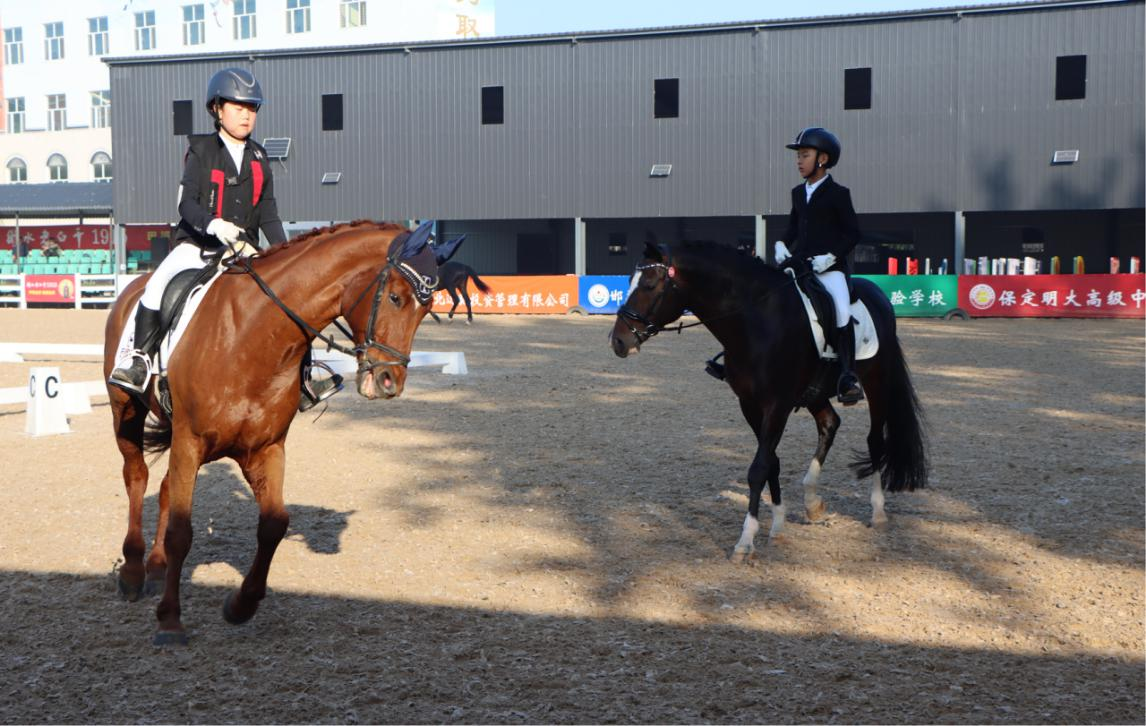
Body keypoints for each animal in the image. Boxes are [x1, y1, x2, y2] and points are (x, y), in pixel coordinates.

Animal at [101, 217, 460, 641]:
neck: (253, 337)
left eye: (428, 308)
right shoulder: (191, 441)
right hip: (127, 409)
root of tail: (133, 287)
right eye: (395, 298)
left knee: (165, 488)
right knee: (136, 477)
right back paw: (133, 572)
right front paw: (170, 621)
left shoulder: (265, 447)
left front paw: (241, 605)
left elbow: (274, 524)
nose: (389, 382)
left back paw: (156, 568)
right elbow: (181, 532)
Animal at [605, 241, 925, 558]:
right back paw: (812, 503)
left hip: (876, 382)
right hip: (815, 392)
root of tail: (878, 294)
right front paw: (778, 524)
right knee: (829, 424)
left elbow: (758, 467)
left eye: (649, 284)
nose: (618, 341)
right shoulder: (749, 404)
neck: (755, 319)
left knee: (875, 440)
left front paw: (746, 539)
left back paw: (877, 512)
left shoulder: (777, 405)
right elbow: (771, 461)